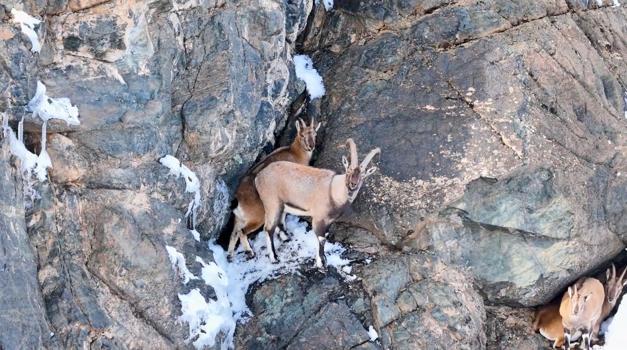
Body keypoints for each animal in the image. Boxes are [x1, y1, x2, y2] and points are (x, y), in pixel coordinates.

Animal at [228, 116, 322, 262]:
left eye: (315, 134)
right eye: (301, 135)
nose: (311, 146)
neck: (295, 153)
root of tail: (238, 198)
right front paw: (284, 235)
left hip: (239, 218)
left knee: (233, 234)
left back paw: (230, 256)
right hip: (257, 216)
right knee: (242, 232)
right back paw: (251, 252)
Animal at [255, 138, 382, 266]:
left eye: (363, 175)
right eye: (349, 170)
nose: (353, 184)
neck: (332, 190)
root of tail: (258, 177)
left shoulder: (329, 221)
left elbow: (325, 236)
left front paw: (322, 259)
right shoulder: (318, 218)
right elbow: (321, 239)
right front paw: (321, 263)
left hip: (282, 205)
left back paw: (286, 238)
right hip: (272, 204)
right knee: (268, 228)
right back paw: (274, 258)